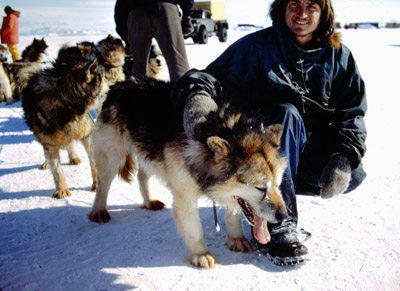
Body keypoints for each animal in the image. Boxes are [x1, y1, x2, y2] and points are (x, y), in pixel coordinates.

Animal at [21, 42, 107, 198]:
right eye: (103, 77)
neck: (64, 100)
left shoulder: (88, 134)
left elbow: (93, 162)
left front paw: (97, 184)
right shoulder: (49, 142)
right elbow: (56, 169)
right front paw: (61, 189)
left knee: (70, 143)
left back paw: (73, 157)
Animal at [87, 77, 288, 270]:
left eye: (277, 184)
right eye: (260, 188)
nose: (284, 216)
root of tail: (121, 83)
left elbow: (233, 214)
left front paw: (236, 239)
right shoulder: (185, 199)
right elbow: (195, 230)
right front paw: (200, 254)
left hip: (147, 154)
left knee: (141, 177)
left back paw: (150, 201)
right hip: (112, 156)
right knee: (103, 184)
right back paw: (98, 211)